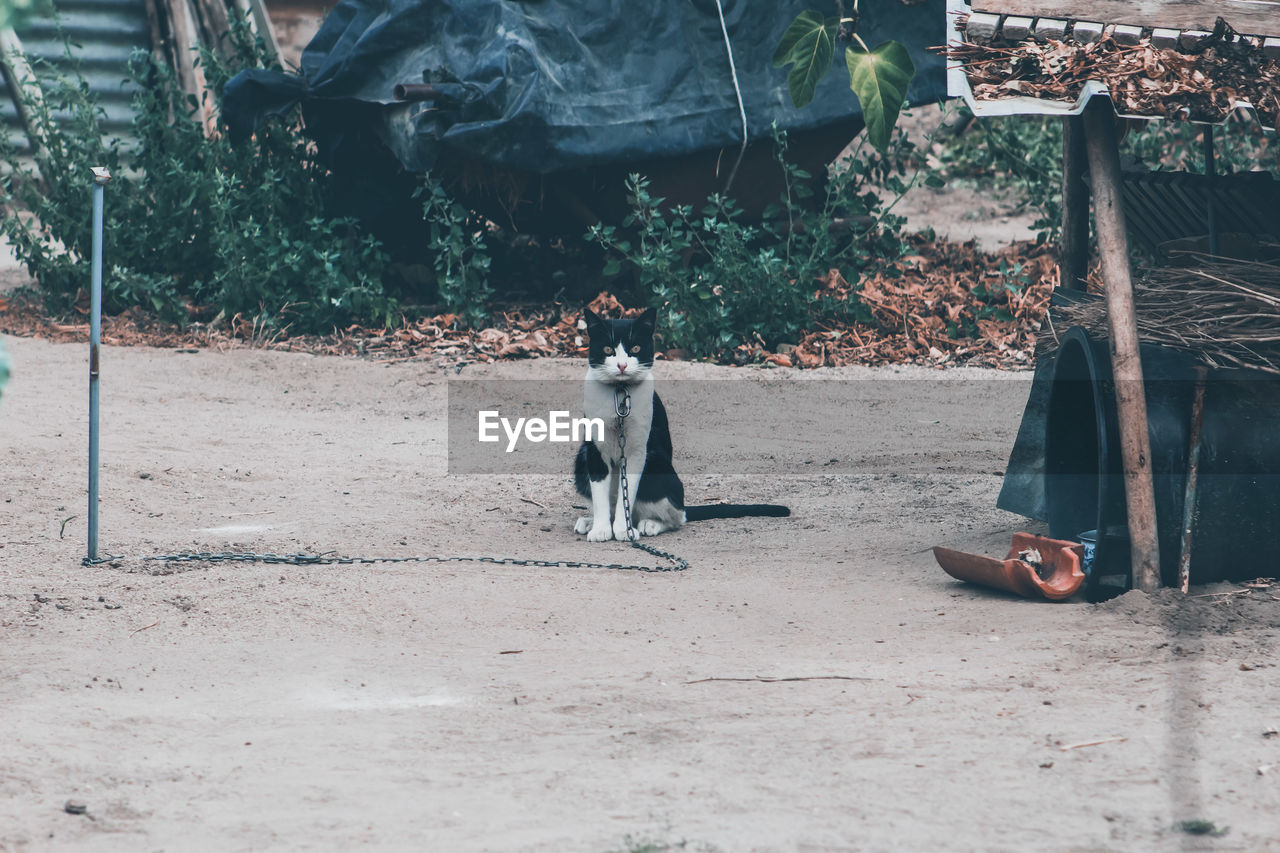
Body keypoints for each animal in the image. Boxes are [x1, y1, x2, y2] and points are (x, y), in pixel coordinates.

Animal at [573, 306, 788, 537]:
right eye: (607, 349)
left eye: (636, 348)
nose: (622, 365)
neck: (619, 392)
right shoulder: (594, 449)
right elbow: (600, 493)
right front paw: (601, 530)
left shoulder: (637, 451)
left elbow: (627, 494)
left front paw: (623, 531)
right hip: (581, 459)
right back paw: (591, 522)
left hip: (658, 465)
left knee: (677, 516)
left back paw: (649, 524)